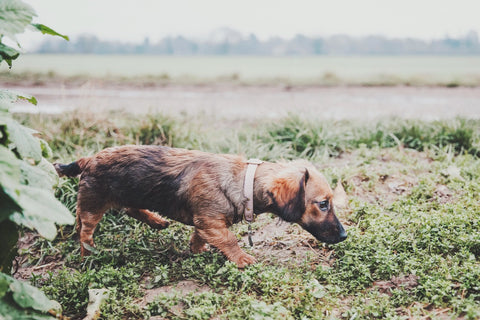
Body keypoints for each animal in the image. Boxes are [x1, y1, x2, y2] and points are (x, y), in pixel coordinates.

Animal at [54, 145, 346, 268]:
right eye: (323, 204)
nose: (344, 235)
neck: (243, 181)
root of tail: (89, 158)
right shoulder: (211, 221)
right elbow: (229, 240)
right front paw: (242, 259)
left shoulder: (206, 222)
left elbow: (200, 237)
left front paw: (197, 250)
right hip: (94, 205)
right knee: (85, 232)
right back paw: (89, 254)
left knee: (129, 209)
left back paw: (156, 221)